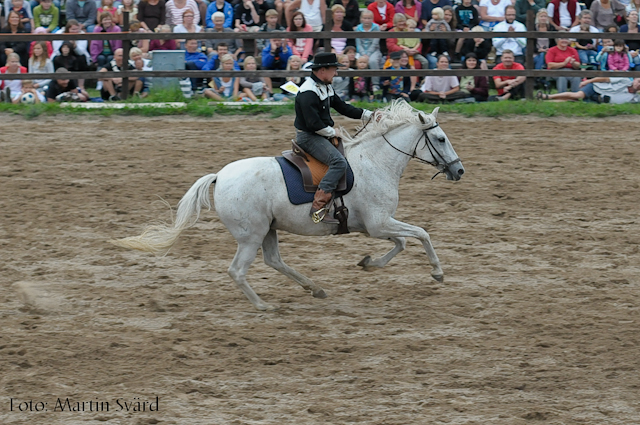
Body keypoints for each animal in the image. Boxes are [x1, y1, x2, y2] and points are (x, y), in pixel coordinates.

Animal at [111, 101, 464, 310]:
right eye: (441, 139)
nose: (459, 171)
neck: (374, 162)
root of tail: (220, 177)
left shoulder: (373, 226)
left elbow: (402, 243)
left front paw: (368, 263)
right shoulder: (379, 223)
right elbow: (422, 234)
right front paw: (437, 273)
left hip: (268, 230)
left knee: (274, 261)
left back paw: (314, 288)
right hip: (251, 236)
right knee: (238, 270)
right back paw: (263, 305)